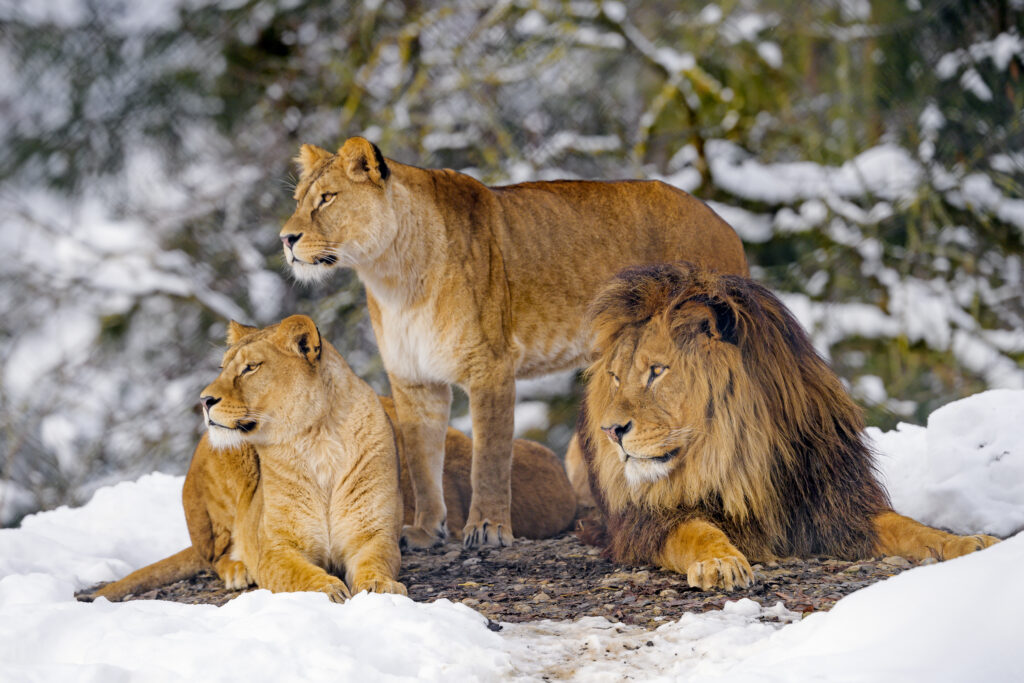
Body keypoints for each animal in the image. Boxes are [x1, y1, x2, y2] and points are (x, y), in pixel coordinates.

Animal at [87, 317, 575, 602]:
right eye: (225, 366)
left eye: (250, 367)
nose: (204, 400)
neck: (314, 440)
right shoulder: (277, 548)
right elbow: (296, 574)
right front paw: (326, 588)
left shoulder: (371, 536)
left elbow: (375, 564)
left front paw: (380, 587)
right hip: (223, 460)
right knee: (215, 554)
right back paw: (238, 570)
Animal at [279, 137, 749, 549]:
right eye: (299, 199)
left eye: (327, 198)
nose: (285, 239)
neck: (394, 278)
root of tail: (723, 222)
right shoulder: (414, 381)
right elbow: (421, 462)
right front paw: (426, 531)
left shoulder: (490, 367)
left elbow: (488, 459)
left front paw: (488, 530)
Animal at [571, 262, 1000, 591]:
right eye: (614, 377)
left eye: (657, 371)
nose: (610, 431)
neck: (740, 459)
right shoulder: (643, 525)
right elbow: (695, 530)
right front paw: (720, 562)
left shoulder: (839, 505)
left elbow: (912, 528)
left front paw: (968, 543)